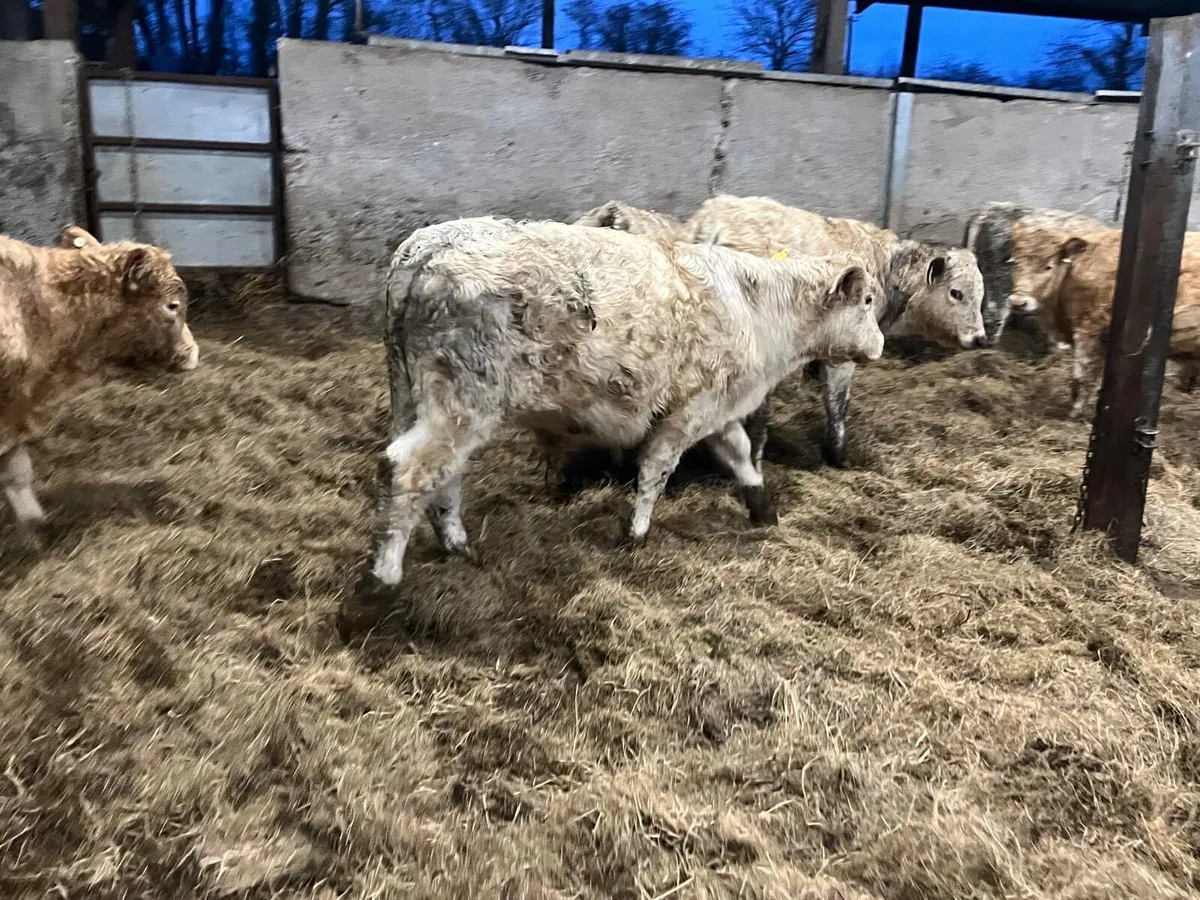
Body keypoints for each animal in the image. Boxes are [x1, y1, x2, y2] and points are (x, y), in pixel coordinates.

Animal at [368, 216, 886, 587]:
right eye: (866, 301)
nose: (880, 344)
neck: (754, 304)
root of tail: (430, 247)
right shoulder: (687, 412)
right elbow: (656, 469)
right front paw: (635, 533)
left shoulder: (715, 409)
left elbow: (740, 455)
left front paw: (763, 507)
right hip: (463, 403)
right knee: (409, 470)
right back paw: (382, 581)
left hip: (418, 398)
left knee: (440, 474)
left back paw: (456, 545)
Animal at [685, 194, 986, 469]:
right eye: (956, 292)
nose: (980, 338)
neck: (885, 269)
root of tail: (712, 225)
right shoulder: (843, 352)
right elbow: (837, 403)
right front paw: (838, 456)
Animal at [1009, 223, 1200, 418]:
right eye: (1015, 262)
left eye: (1048, 266)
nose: (1018, 302)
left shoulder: (1089, 329)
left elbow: (1081, 377)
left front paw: (1074, 413)